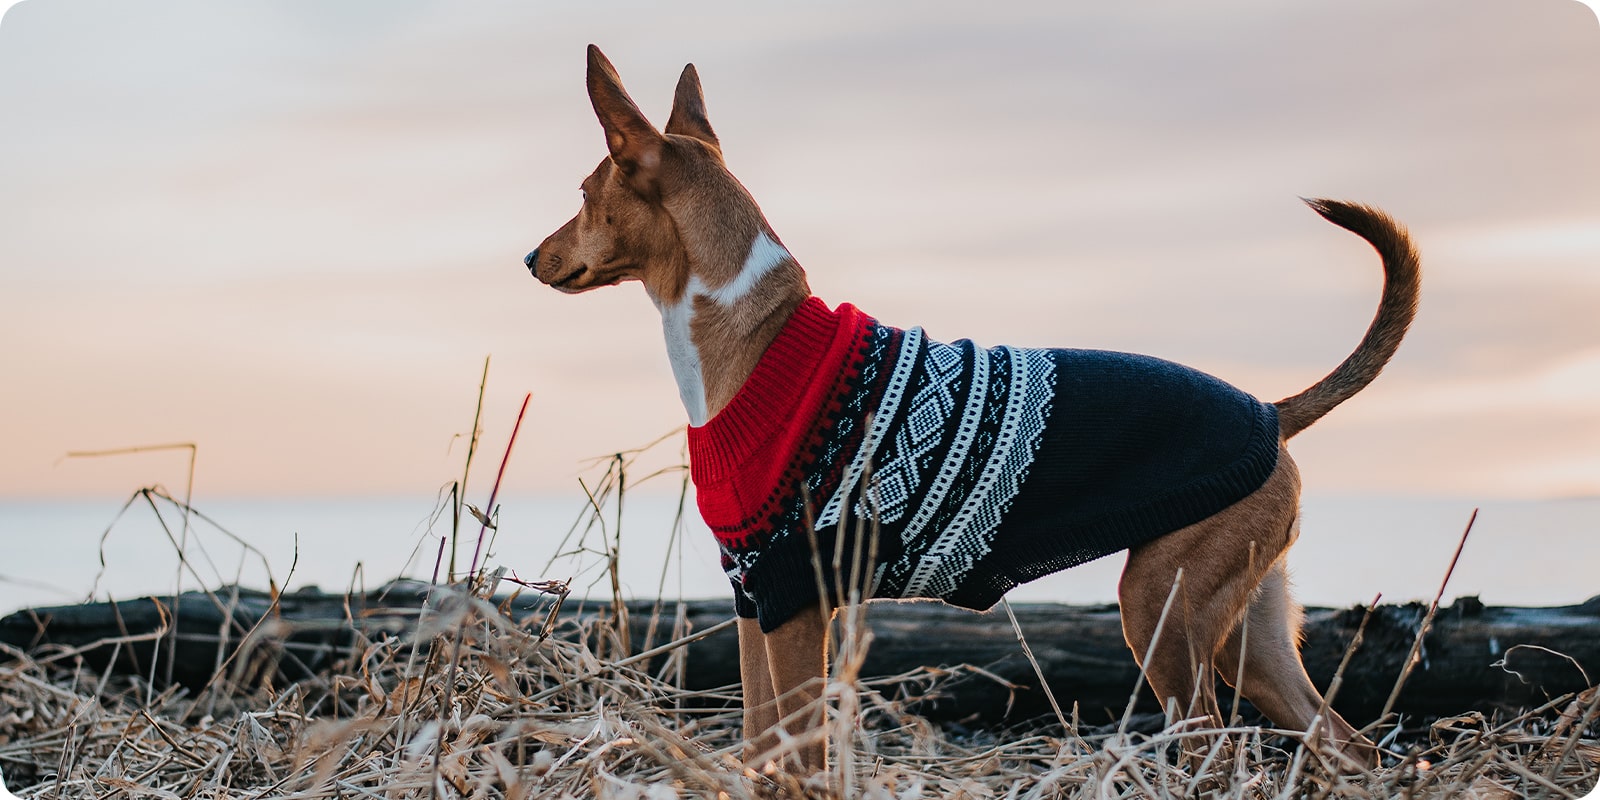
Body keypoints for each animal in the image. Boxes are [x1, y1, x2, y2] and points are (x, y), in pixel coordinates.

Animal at [531, 45, 1420, 774]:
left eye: (582, 194)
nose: (532, 257)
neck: (759, 335)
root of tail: (1271, 413)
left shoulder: (797, 602)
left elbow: (800, 757)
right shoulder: (757, 604)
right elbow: (761, 747)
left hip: (1162, 616)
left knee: (1218, 751)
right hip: (1251, 634)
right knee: (1352, 747)